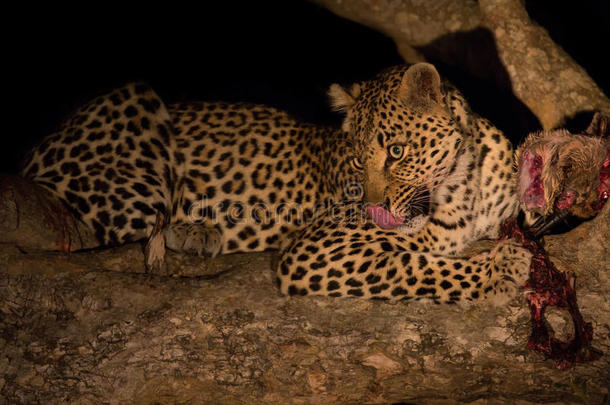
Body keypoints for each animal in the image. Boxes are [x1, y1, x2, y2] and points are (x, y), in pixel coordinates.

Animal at [20, 62, 528, 304]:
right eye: (357, 159)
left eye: (397, 152)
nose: (372, 211)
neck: (464, 182)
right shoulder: (319, 249)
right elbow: (418, 269)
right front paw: (501, 269)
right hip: (136, 104)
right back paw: (190, 231)